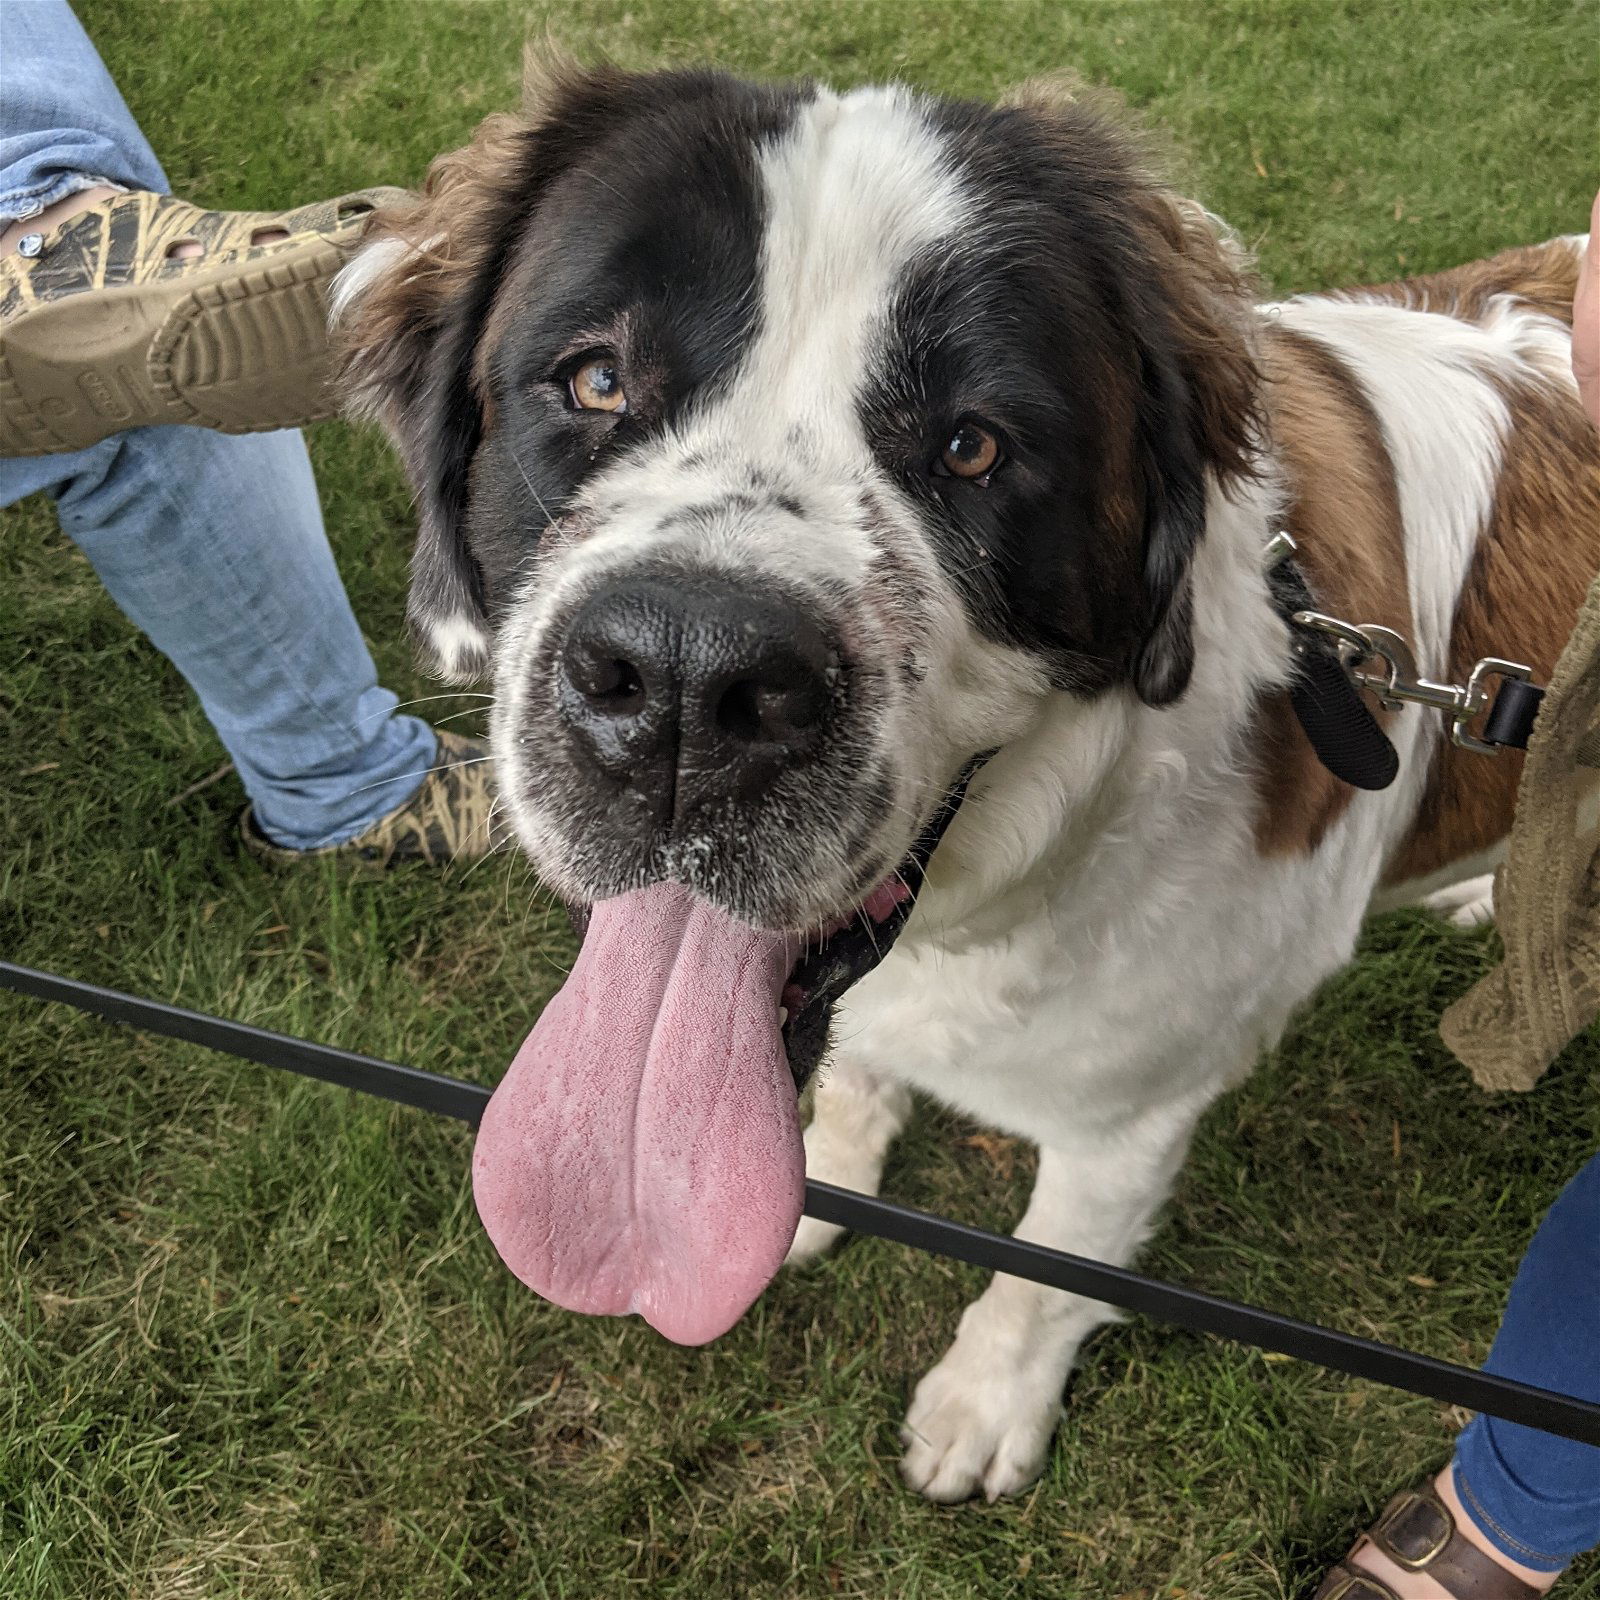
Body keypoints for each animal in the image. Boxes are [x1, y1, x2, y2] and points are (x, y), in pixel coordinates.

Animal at [328, 50, 1600, 1497]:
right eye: (595, 381)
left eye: (971, 447)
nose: (687, 684)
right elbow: (854, 1080)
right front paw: (824, 1185)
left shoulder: (1130, 1114)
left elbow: (1046, 1277)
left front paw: (987, 1401)